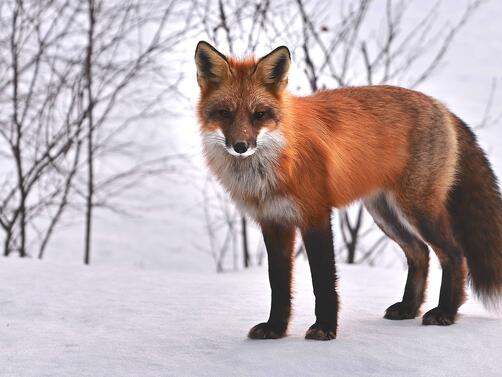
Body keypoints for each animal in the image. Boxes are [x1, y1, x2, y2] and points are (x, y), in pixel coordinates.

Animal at [194, 41, 502, 340]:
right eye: (225, 113)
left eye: (259, 115)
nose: (240, 146)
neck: (274, 164)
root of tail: (441, 106)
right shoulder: (273, 222)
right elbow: (278, 284)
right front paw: (275, 329)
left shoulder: (316, 215)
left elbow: (323, 280)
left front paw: (325, 329)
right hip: (385, 214)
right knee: (420, 253)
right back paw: (409, 308)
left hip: (417, 209)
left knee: (455, 254)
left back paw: (446, 312)